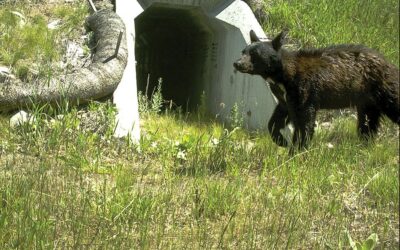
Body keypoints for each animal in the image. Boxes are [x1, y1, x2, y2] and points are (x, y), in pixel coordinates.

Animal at [234, 29, 400, 150]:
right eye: (243, 51)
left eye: (255, 54)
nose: (237, 63)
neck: (283, 76)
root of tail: (390, 62)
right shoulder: (285, 97)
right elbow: (276, 119)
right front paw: (282, 141)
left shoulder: (304, 90)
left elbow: (304, 122)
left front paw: (297, 151)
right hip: (367, 101)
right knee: (367, 123)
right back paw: (364, 145)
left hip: (384, 88)